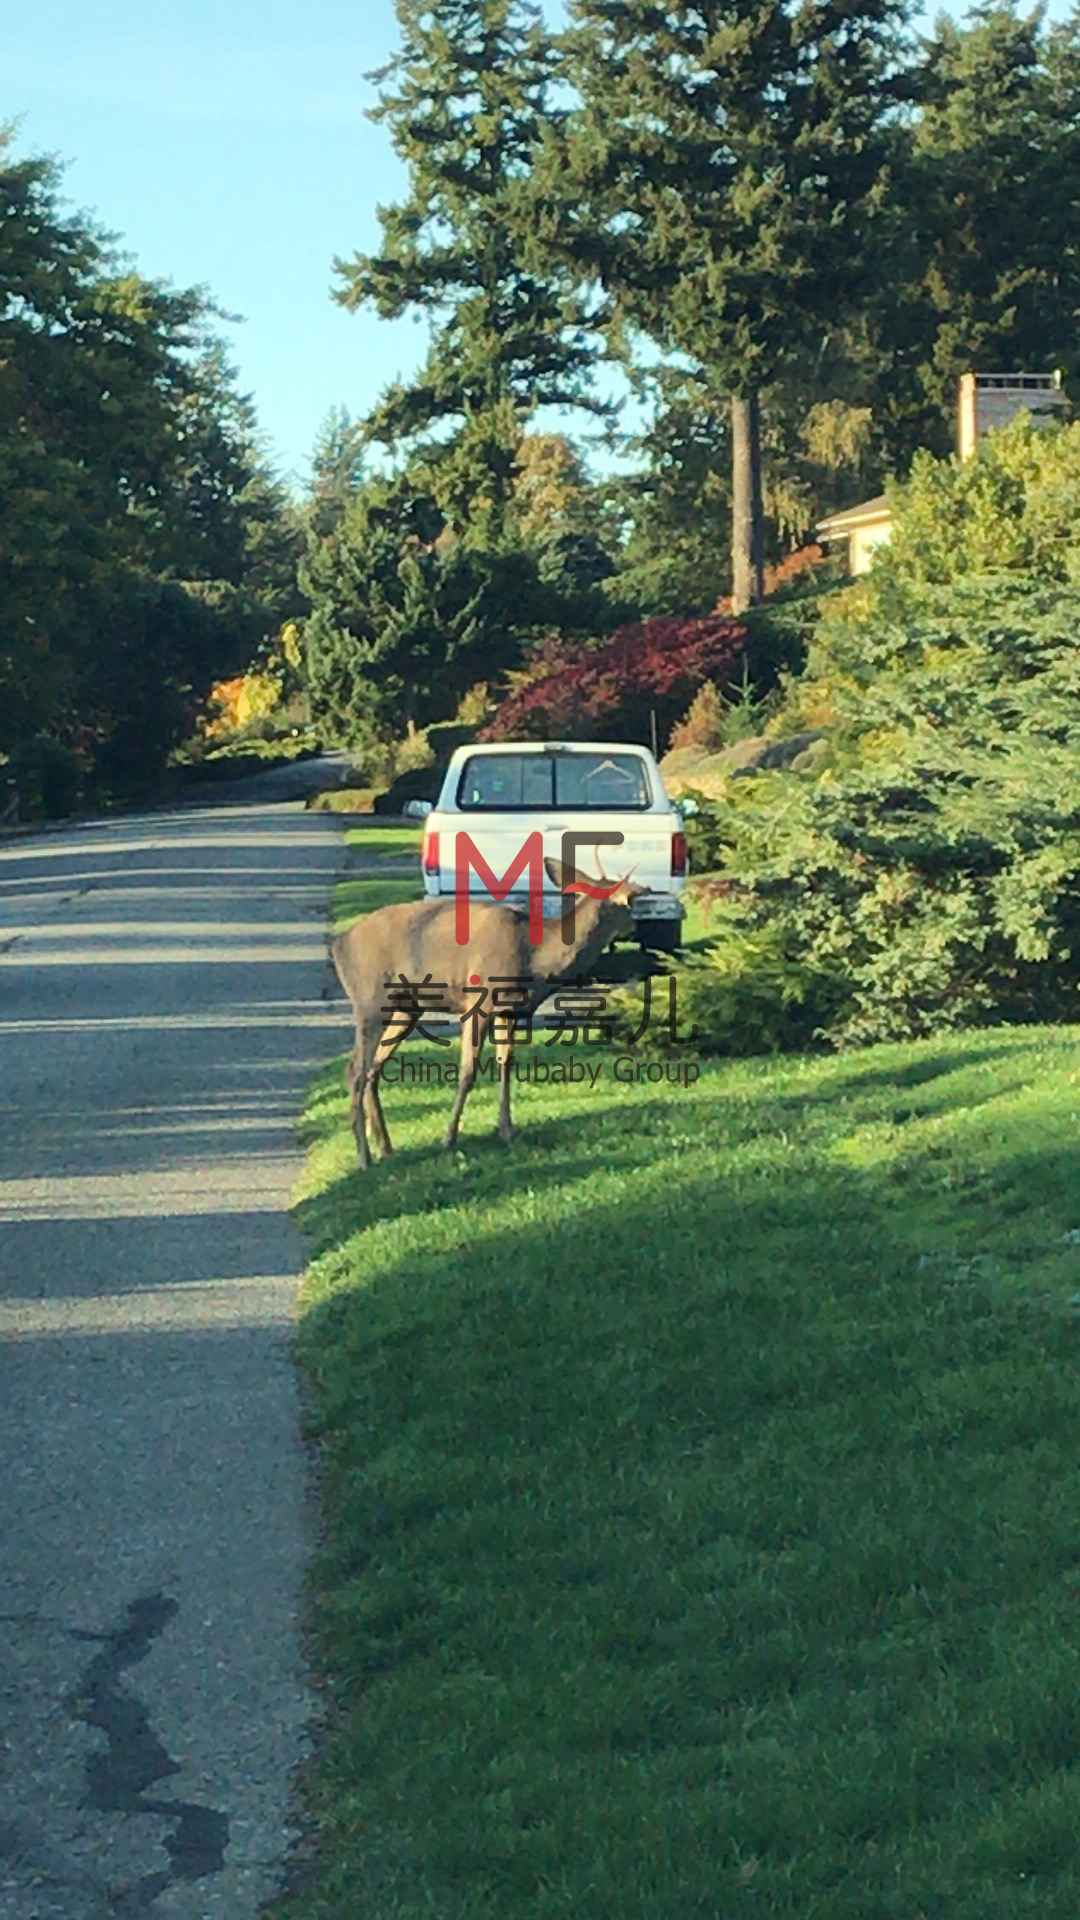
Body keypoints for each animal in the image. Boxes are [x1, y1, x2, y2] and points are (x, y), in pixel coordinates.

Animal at [328, 860, 641, 1159]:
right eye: (627, 903)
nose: (633, 926)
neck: (535, 960)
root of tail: (337, 945)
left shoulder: (508, 1011)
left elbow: (506, 1065)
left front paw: (506, 1129)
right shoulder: (479, 1000)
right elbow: (468, 1070)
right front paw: (449, 1137)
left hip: (406, 1008)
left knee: (373, 1069)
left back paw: (385, 1147)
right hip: (370, 999)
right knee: (355, 1071)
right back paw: (364, 1157)